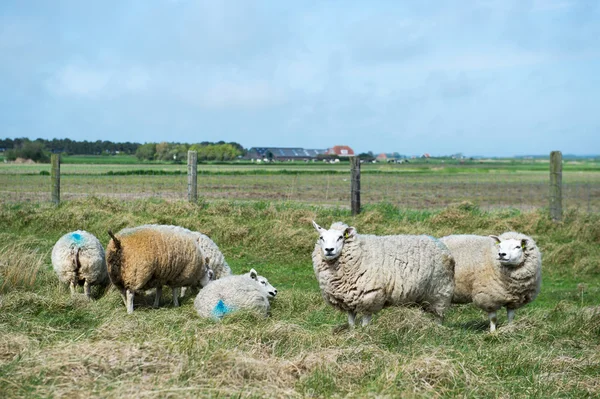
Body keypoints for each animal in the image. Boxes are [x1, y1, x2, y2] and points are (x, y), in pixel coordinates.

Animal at [312, 222, 452, 328]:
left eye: (341, 237)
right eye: (321, 238)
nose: (329, 250)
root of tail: (439, 242)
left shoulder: (369, 296)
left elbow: (365, 321)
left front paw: (364, 334)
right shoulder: (347, 299)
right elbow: (351, 321)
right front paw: (352, 333)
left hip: (440, 292)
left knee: (439, 316)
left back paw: (437, 330)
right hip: (423, 295)